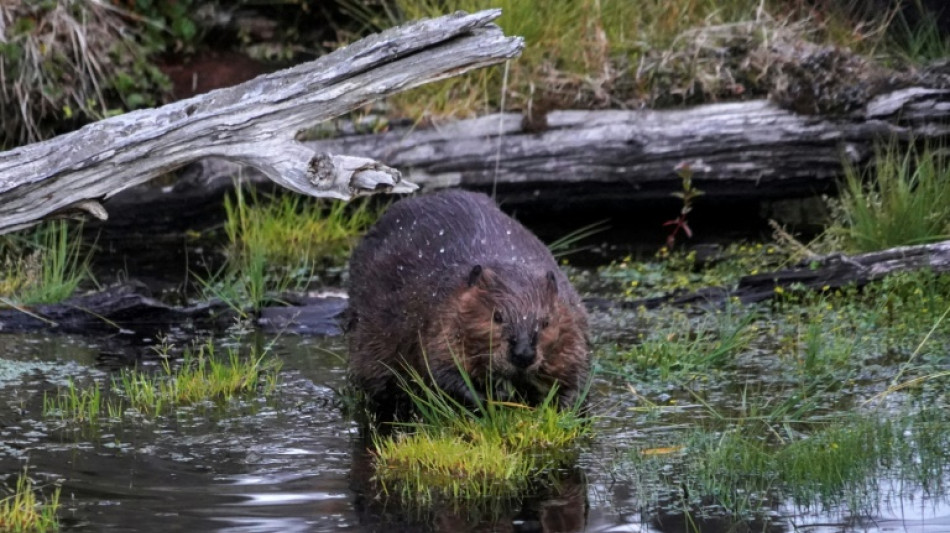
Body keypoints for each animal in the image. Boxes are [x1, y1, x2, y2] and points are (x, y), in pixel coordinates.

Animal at [346, 187, 592, 416]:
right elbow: (440, 371)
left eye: (546, 322)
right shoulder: (440, 316)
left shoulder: (571, 319)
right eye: (497, 316)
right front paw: (491, 399)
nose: (523, 354)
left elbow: (577, 375)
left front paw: (561, 406)